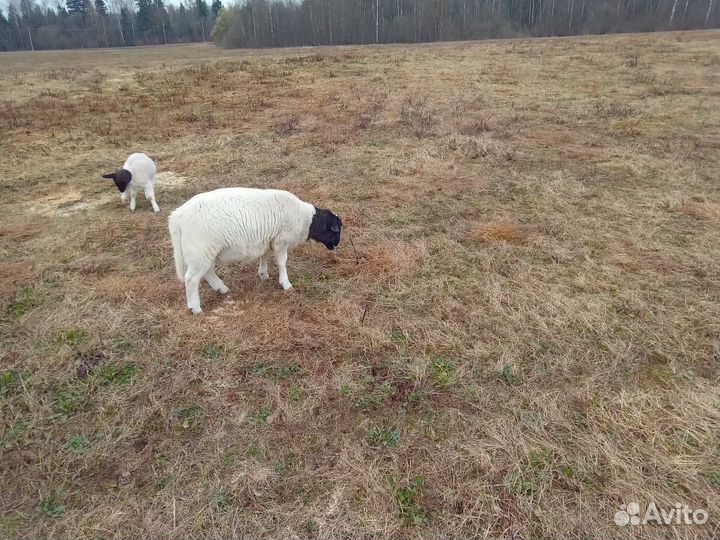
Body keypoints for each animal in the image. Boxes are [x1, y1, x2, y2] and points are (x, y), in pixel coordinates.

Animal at [168, 187, 342, 315]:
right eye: (336, 230)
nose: (336, 245)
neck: (305, 220)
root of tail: (177, 217)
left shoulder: (266, 239)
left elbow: (264, 256)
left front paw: (263, 274)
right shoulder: (281, 240)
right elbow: (282, 262)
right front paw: (285, 283)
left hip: (205, 253)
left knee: (207, 272)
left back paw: (221, 289)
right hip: (200, 250)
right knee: (191, 279)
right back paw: (196, 308)